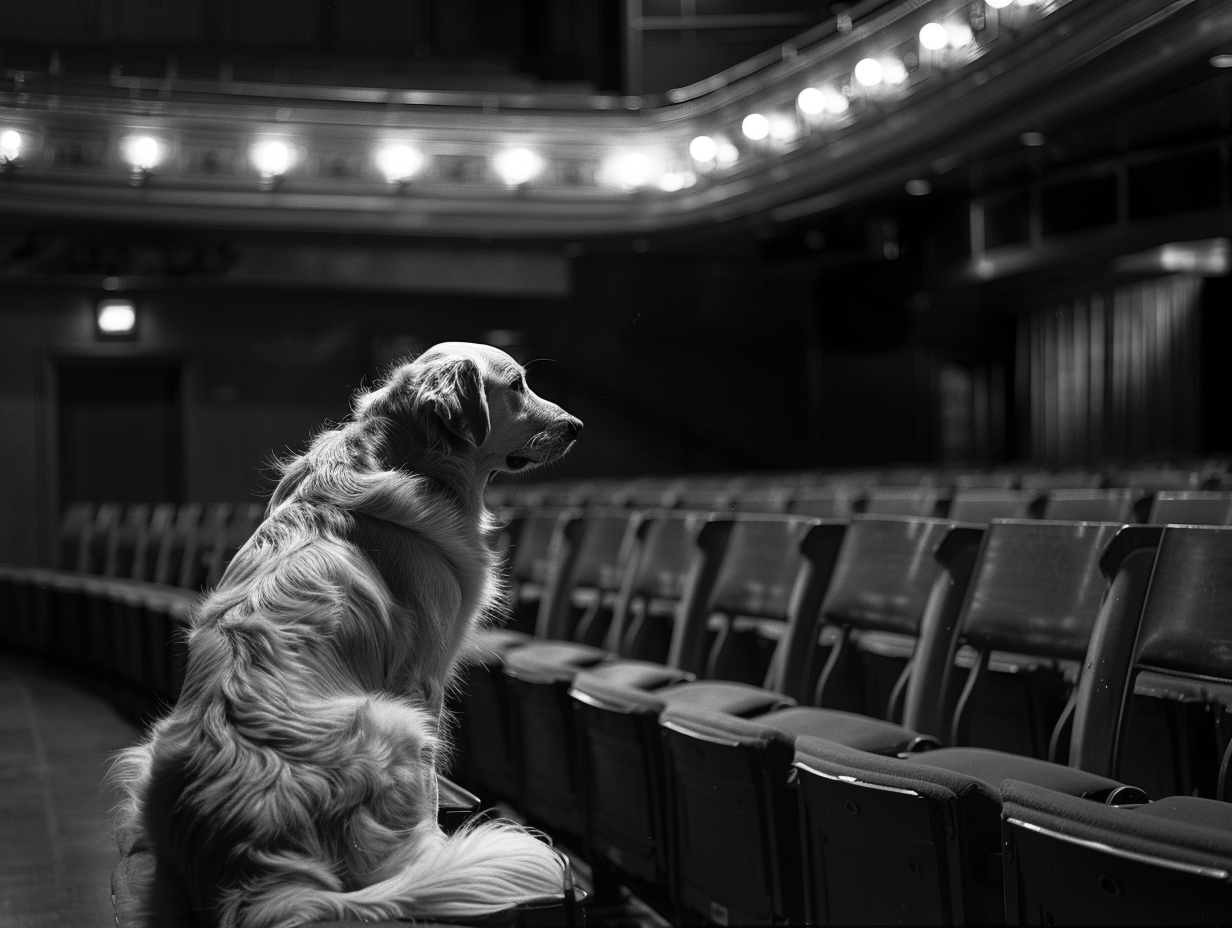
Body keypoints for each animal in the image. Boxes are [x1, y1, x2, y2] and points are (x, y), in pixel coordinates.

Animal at [110, 342, 581, 926]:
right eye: (517, 385)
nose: (577, 427)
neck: (407, 456)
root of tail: (254, 878)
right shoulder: (423, 680)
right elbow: (431, 791)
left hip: (147, 762)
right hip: (397, 724)